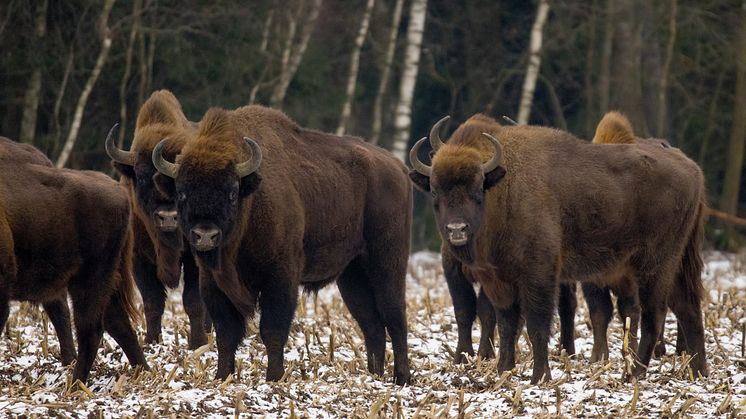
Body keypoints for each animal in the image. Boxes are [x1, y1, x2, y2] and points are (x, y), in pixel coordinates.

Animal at [0, 154, 148, 384]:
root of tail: (119, 190)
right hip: (105, 281)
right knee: (118, 323)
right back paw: (145, 372)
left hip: (90, 278)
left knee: (91, 328)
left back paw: (75, 384)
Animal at [104, 90, 209, 350]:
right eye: (141, 177)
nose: (168, 217)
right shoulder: (139, 259)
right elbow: (152, 301)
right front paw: (151, 341)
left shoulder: (194, 258)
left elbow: (193, 300)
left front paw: (198, 343)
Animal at [148, 106, 410, 386]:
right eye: (182, 192)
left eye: (231, 192)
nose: (205, 235)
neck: (251, 202)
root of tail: (397, 166)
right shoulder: (213, 282)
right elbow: (225, 333)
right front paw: (222, 376)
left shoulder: (280, 277)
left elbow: (272, 329)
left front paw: (274, 377)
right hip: (352, 274)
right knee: (371, 324)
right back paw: (374, 376)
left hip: (387, 263)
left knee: (395, 316)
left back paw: (402, 378)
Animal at [406, 113, 704, 382]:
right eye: (435, 191)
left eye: (478, 189)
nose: (457, 230)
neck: (503, 189)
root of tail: (693, 170)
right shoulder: (499, 280)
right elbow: (506, 323)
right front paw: (504, 370)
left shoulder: (539, 273)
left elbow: (537, 325)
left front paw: (540, 376)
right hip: (677, 262)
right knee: (687, 307)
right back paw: (698, 371)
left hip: (654, 265)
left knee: (654, 314)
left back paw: (634, 374)